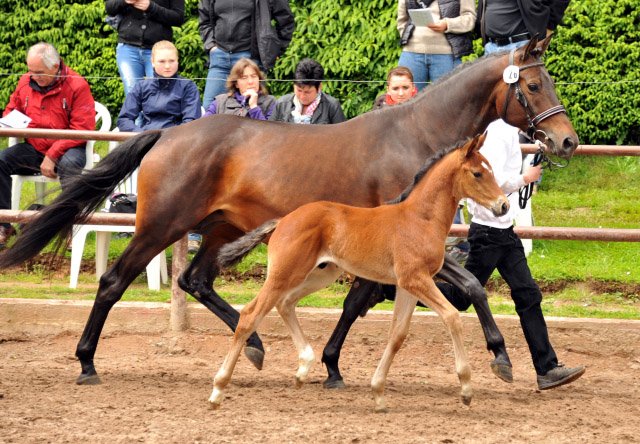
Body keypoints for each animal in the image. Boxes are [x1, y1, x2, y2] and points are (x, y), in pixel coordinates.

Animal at [212, 134, 508, 412]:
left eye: (491, 169)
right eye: (478, 173)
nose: (504, 205)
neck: (419, 219)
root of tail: (284, 220)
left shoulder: (408, 285)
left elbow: (398, 334)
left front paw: (378, 394)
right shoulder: (416, 279)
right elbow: (452, 317)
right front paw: (466, 389)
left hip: (320, 274)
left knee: (285, 304)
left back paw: (303, 369)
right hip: (284, 274)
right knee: (251, 314)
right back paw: (218, 390)